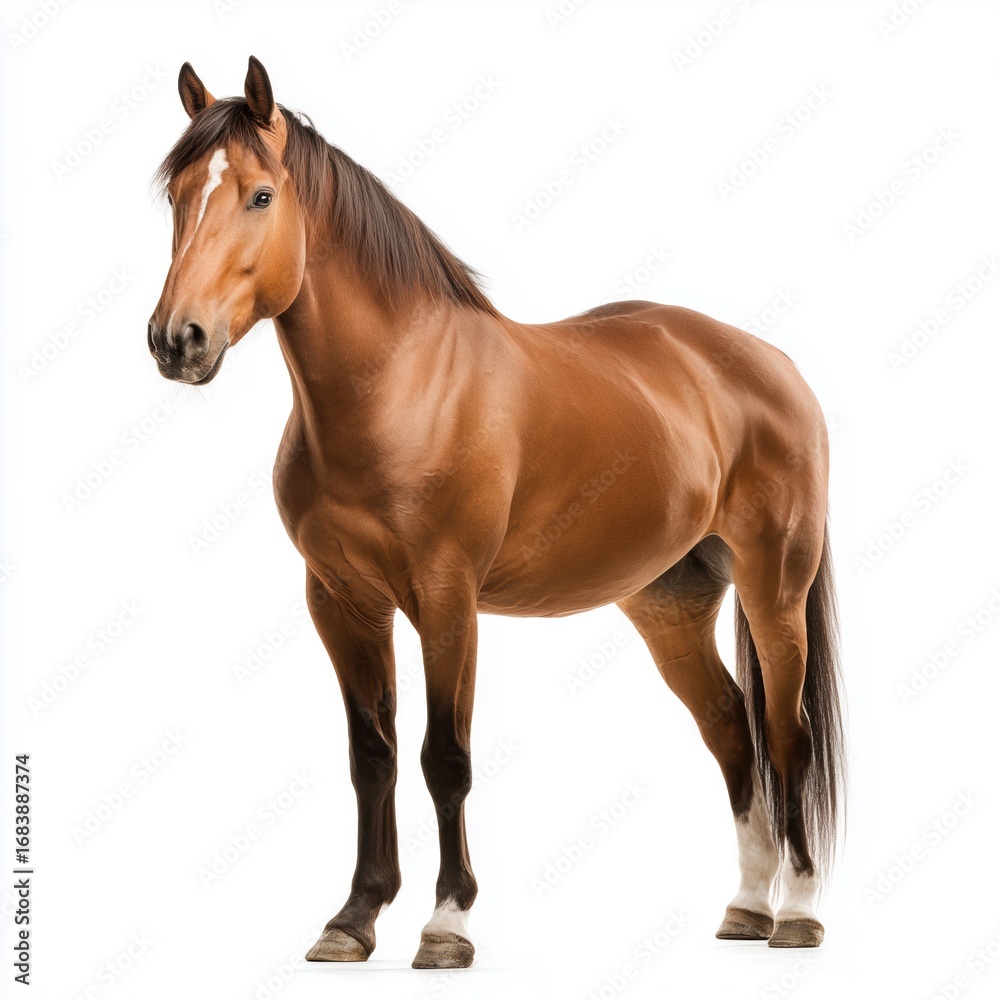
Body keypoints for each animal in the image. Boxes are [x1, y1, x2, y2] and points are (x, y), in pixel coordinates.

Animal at [148, 57, 846, 969]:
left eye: (260, 195)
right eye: (176, 194)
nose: (177, 340)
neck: (401, 386)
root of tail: (771, 363)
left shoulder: (449, 601)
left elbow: (445, 757)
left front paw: (448, 923)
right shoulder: (340, 602)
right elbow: (371, 756)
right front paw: (353, 918)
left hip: (776, 589)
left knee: (788, 733)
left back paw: (796, 911)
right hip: (670, 604)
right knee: (731, 727)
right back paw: (746, 907)